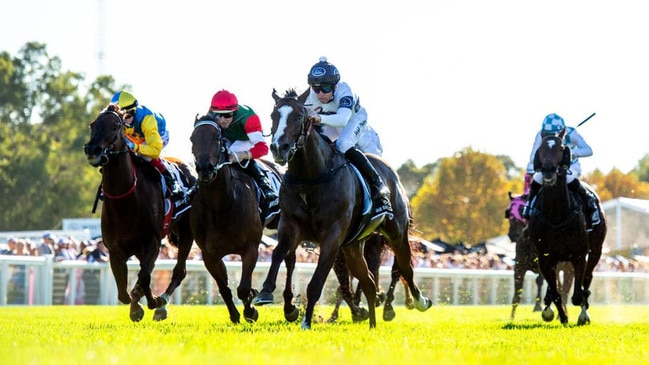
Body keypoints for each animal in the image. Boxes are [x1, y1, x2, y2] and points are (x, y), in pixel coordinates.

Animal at [84, 104, 195, 320]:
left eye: (115, 126)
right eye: (93, 124)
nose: (93, 150)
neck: (125, 201)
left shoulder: (152, 243)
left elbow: (144, 277)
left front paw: (150, 301)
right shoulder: (115, 250)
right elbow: (123, 291)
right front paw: (136, 305)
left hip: (187, 233)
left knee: (179, 271)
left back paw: (162, 304)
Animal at [186, 115, 280, 322]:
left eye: (217, 139)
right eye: (192, 139)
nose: (205, 169)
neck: (220, 206)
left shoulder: (251, 248)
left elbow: (243, 288)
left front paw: (251, 310)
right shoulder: (209, 255)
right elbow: (224, 288)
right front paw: (236, 314)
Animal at [253, 89, 430, 328]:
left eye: (299, 116)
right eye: (273, 115)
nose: (279, 148)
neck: (311, 177)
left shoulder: (332, 235)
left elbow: (317, 281)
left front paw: (306, 321)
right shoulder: (290, 226)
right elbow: (278, 253)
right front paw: (266, 292)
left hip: (396, 234)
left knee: (404, 267)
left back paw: (418, 302)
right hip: (353, 246)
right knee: (369, 281)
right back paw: (372, 324)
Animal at [504, 192, 576, 320]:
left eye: (522, 209)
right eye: (509, 212)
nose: (514, 234)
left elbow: (545, 284)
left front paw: (540, 307)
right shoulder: (519, 266)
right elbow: (517, 294)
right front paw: (511, 318)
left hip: (568, 268)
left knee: (565, 290)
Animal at [528, 131, 604, 324]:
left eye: (562, 147)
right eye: (541, 148)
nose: (548, 170)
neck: (556, 214)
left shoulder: (579, 255)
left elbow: (577, 294)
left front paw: (581, 313)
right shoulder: (544, 257)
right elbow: (555, 291)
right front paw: (558, 315)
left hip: (596, 250)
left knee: (587, 278)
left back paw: (584, 312)